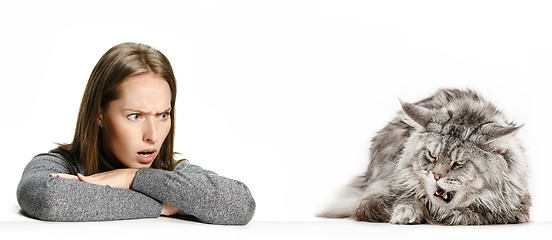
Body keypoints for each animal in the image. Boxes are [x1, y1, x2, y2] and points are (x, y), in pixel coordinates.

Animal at [320, 88, 532, 225]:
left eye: (460, 162)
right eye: (432, 155)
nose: (436, 176)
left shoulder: (517, 209)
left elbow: (478, 213)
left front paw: (455, 216)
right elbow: (407, 199)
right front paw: (405, 214)